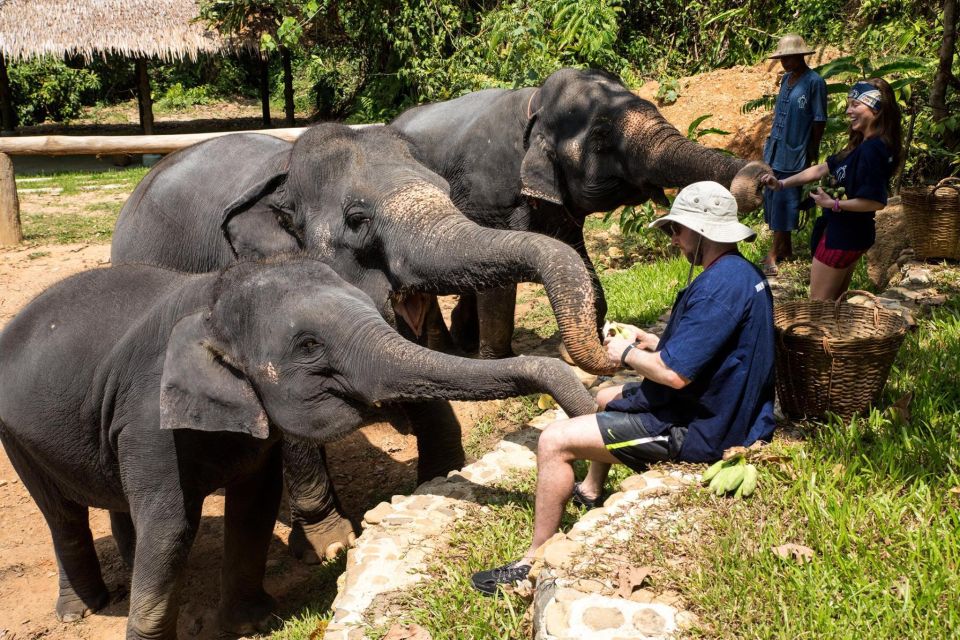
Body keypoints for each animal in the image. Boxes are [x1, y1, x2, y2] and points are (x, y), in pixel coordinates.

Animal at [0, 258, 592, 636]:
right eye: (308, 346)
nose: (588, 494)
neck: (210, 295)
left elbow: (254, 507)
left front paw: (254, 621)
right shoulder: (147, 419)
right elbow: (170, 529)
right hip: (17, 439)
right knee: (63, 516)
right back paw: (82, 611)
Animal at [110, 125, 616, 564]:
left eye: (447, 193)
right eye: (357, 220)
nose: (608, 347)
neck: (284, 171)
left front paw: (442, 477)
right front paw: (330, 545)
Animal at [390, 67, 772, 358]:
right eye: (601, 137)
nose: (762, 179)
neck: (534, 107)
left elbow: (575, 254)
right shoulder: (489, 196)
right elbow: (499, 275)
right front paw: (501, 361)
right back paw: (441, 350)